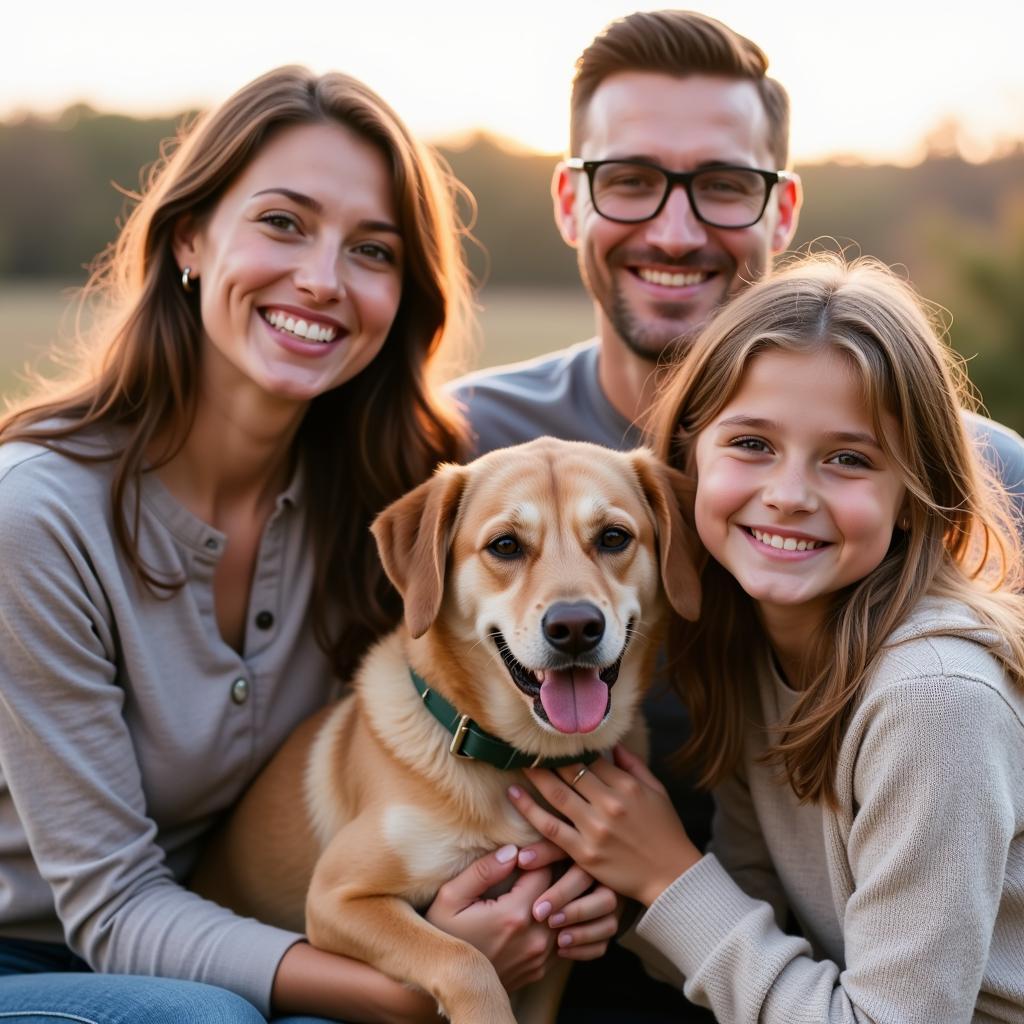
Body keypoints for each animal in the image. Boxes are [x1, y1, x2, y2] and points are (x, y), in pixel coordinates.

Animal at [191, 440, 700, 1024]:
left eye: (613, 537)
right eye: (505, 545)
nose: (575, 627)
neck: (515, 762)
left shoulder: (559, 934)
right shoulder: (336, 898)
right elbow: (463, 957)